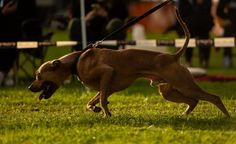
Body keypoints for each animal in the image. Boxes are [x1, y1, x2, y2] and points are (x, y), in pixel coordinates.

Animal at [28, 8, 230, 117]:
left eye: (38, 75)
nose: (30, 87)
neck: (77, 60)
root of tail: (173, 56)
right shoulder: (107, 86)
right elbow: (95, 99)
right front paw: (95, 108)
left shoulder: (107, 73)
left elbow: (102, 99)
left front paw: (106, 114)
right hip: (168, 91)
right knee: (193, 100)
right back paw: (184, 115)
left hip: (184, 85)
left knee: (214, 97)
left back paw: (226, 117)